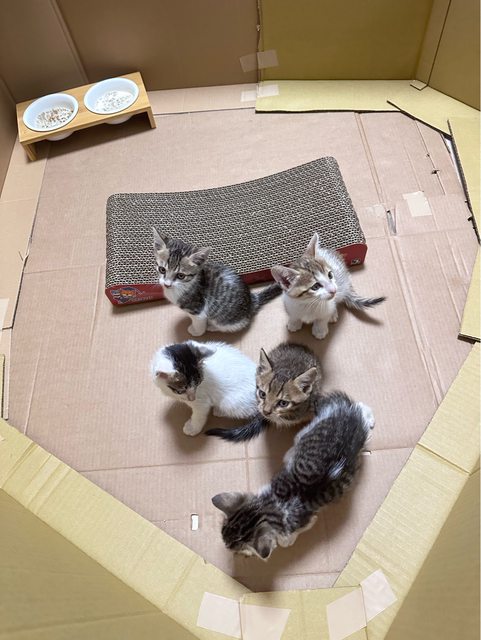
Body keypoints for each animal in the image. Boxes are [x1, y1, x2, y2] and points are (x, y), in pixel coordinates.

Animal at [153, 229, 281, 336]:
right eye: (162, 269)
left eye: (181, 275)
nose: (167, 284)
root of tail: (252, 300)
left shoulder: (198, 310)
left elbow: (199, 324)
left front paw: (196, 331)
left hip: (224, 319)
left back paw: (212, 327)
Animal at [212, 391, 375, 559]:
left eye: (234, 548)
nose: (226, 546)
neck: (272, 504)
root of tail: (347, 413)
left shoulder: (305, 522)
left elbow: (288, 539)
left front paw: (286, 542)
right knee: (361, 408)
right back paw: (368, 418)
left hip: (304, 433)